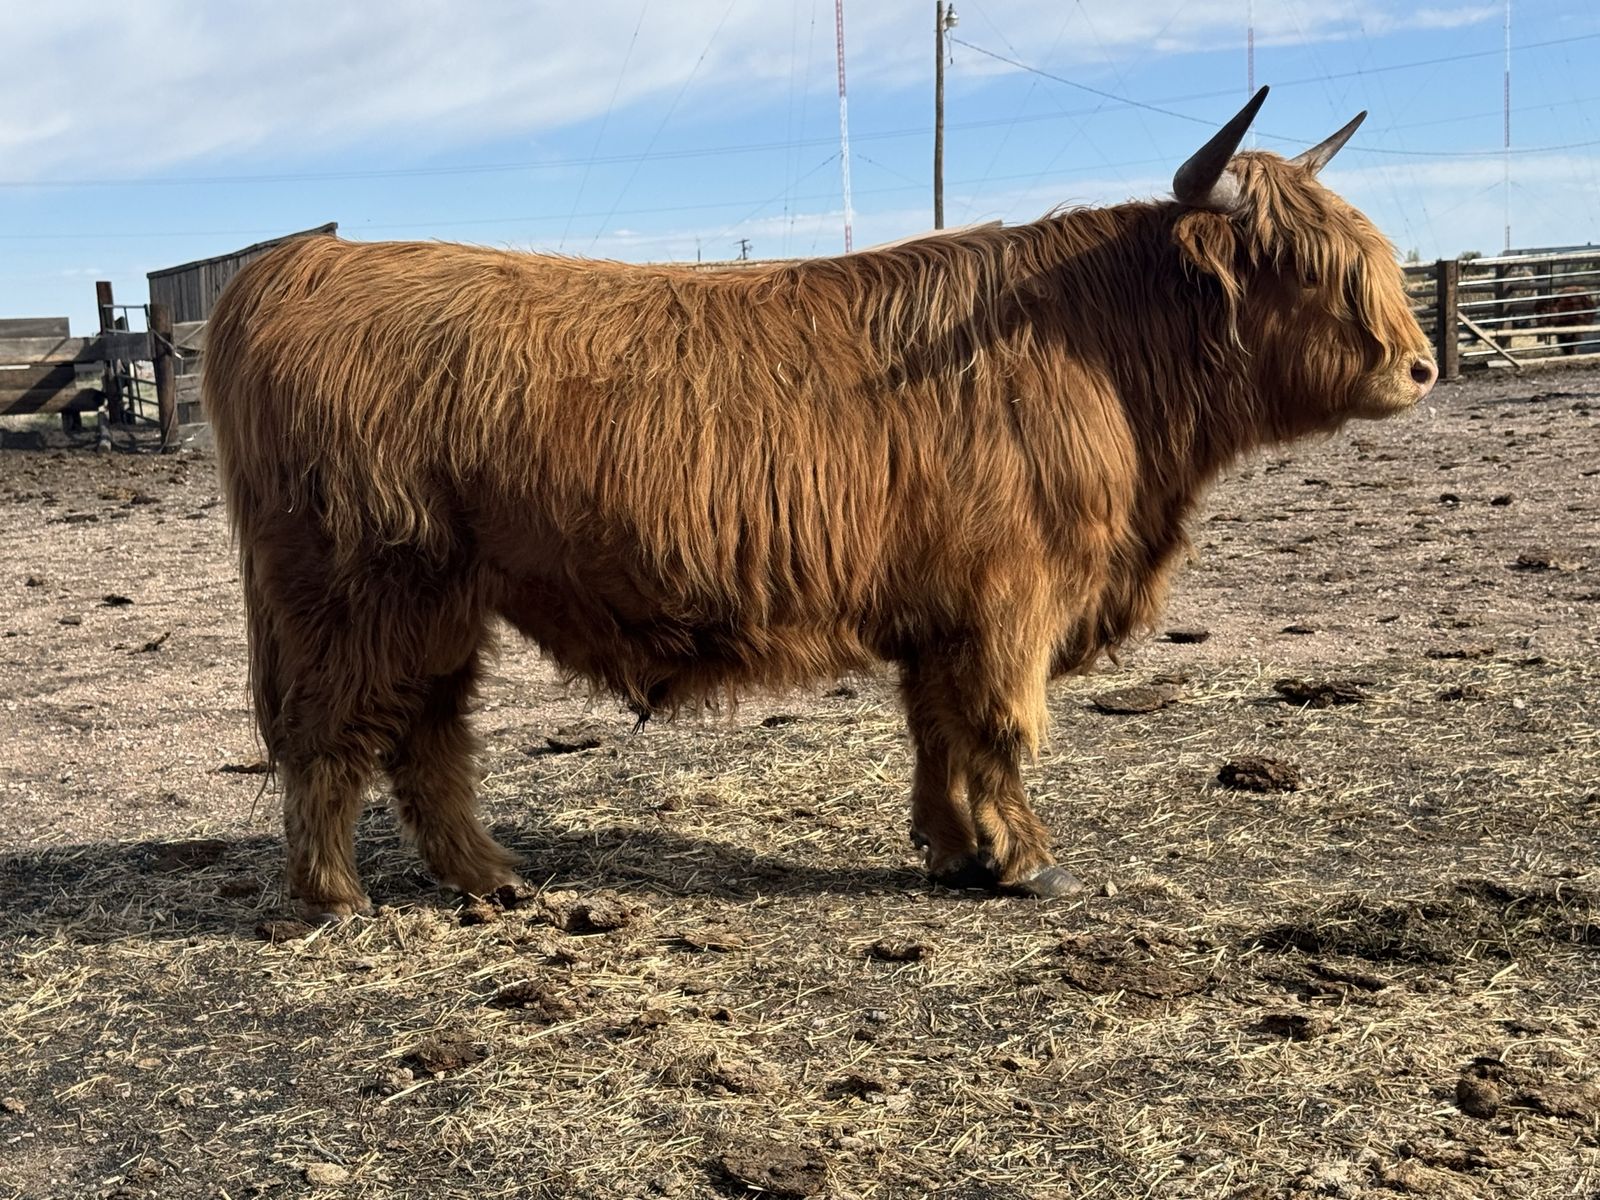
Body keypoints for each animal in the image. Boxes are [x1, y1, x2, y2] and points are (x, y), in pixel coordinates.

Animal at [204, 87, 1436, 920]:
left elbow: (938, 731)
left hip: (443, 601)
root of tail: (299, 267)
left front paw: (953, 851)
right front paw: (1028, 860)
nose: (1421, 366)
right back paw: (335, 894)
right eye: (1305, 265)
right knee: (333, 730)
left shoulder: (942, 610)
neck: (1099, 351)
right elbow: (999, 729)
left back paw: (491, 877)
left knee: (425, 733)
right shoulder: (1010, 601)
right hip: (361, 588)